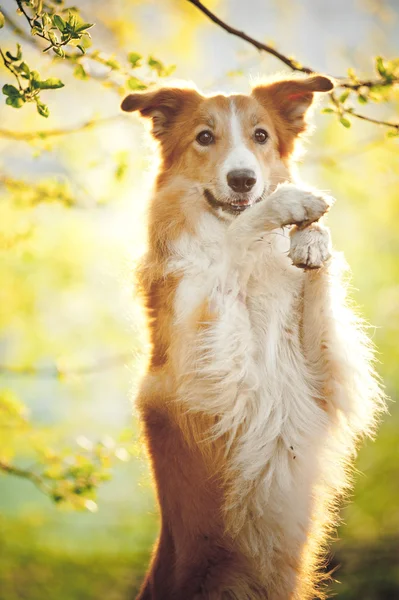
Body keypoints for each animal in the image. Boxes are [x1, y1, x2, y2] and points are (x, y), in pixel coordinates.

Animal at [121, 76, 384, 600]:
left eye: (261, 136)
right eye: (204, 137)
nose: (244, 180)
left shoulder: (322, 376)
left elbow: (319, 293)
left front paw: (311, 241)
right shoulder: (210, 363)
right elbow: (233, 243)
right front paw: (287, 205)